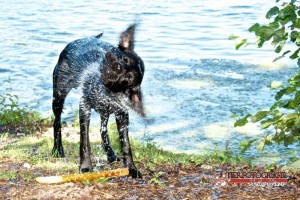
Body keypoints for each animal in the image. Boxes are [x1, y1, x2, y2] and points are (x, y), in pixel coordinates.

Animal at [51, 24, 144, 179]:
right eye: (124, 59)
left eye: (129, 77)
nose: (117, 65)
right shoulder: (84, 106)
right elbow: (84, 142)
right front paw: (86, 167)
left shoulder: (122, 114)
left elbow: (125, 144)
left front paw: (131, 168)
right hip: (59, 95)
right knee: (56, 122)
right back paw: (57, 149)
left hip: (103, 112)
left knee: (103, 130)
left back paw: (110, 154)